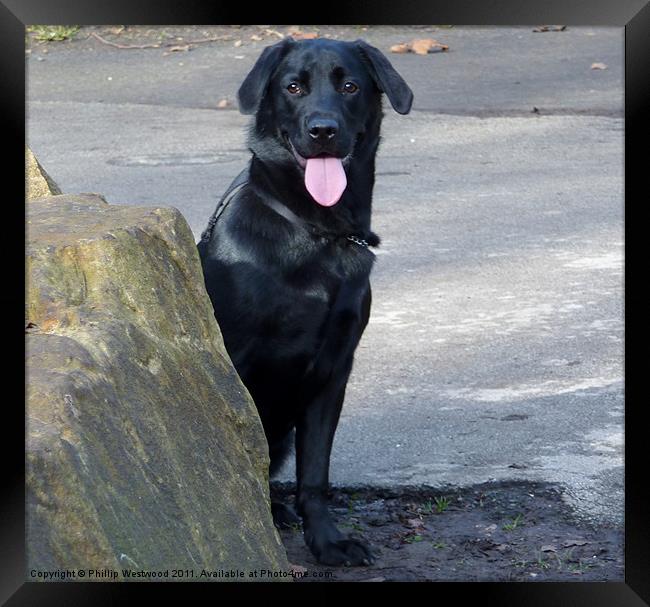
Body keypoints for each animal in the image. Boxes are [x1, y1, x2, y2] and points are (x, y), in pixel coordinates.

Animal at [196, 40, 410, 568]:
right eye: (293, 86)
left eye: (349, 85)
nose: (323, 130)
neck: (317, 233)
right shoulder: (237, 364)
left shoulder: (333, 371)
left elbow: (315, 475)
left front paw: (328, 541)